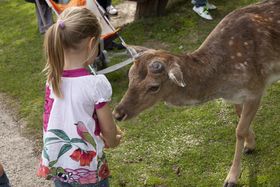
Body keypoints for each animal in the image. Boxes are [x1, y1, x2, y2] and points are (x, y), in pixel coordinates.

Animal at [112, 0, 280, 186]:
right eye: (130, 76)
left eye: (154, 87)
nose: (117, 113)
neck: (222, 83)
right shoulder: (236, 96)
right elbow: (240, 118)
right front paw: (250, 145)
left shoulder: (255, 88)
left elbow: (239, 130)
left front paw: (231, 178)